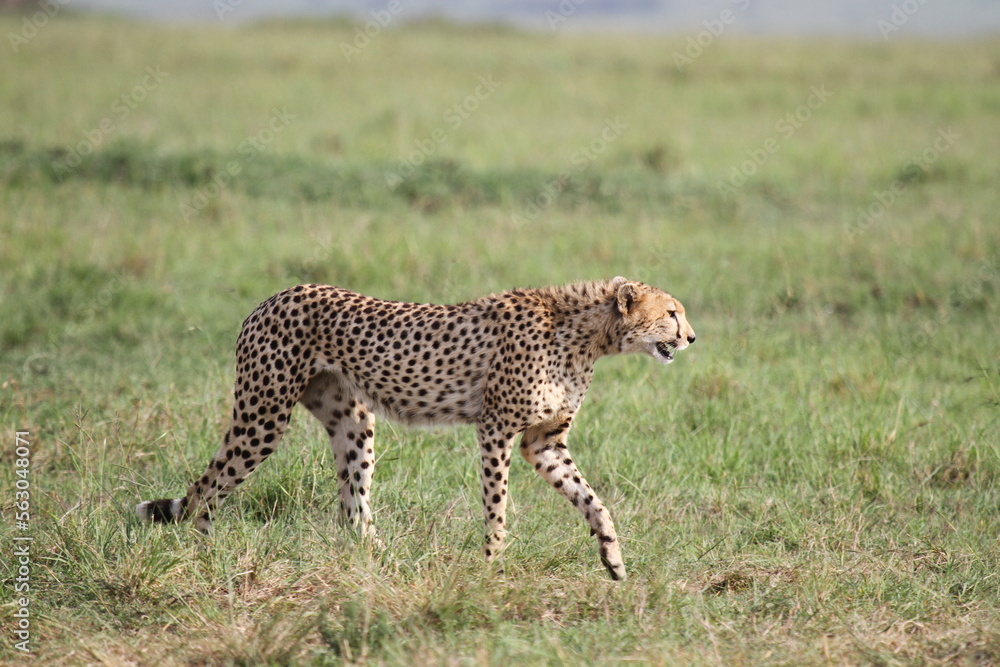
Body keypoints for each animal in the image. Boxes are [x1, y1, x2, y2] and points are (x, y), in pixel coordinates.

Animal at [136, 276, 696, 580]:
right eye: (671, 312)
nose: (692, 336)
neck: (587, 335)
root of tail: (274, 296)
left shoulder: (544, 443)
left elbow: (593, 500)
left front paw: (613, 559)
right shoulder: (496, 430)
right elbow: (497, 506)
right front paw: (491, 566)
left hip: (354, 424)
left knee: (352, 509)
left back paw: (385, 563)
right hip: (263, 416)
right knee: (206, 487)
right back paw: (204, 552)